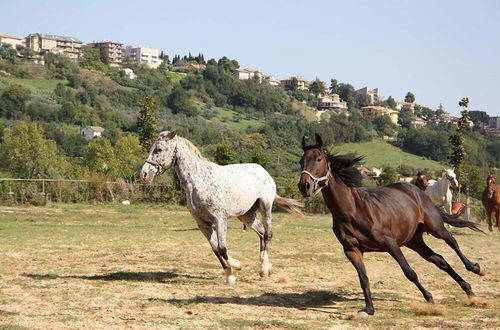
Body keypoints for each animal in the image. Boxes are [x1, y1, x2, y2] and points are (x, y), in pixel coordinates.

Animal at [139, 131, 302, 284]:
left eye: (159, 149)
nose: (144, 174)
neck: (199, 182)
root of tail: (264, 172)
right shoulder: (203, 224)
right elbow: (216, 249)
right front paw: (230, 275)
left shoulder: (220, 219)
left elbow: (223, 248)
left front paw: (236, 266)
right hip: (246, 215)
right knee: (261, 233)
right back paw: (265, 267)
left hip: (265, 206)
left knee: (268, 234)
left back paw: (264, 268)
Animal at [296, 135, 484, 318]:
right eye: (301, 161)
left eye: (319, 159)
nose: (304, 186)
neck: (352, 210)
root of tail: (417, 190)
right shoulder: (352, 250)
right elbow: (363, 278)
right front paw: (369, 309)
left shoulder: (390, 244)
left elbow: (409, 272)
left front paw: (429, 298)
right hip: (414, 241)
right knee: (440, 260)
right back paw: (468, 289)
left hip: (435, 228)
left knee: (451, 241)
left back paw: (475, 268)